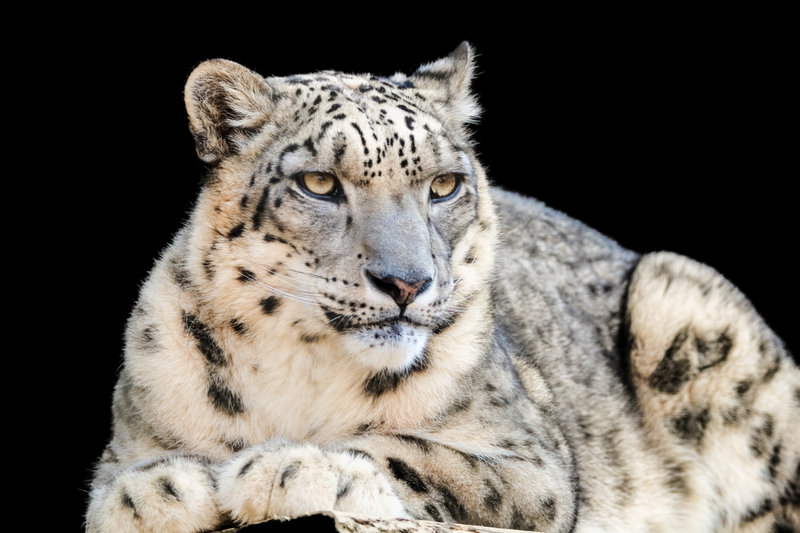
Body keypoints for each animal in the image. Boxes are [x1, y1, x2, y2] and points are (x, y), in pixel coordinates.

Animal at [85, 42, 800, 533]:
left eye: (445, 184)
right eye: (319, 183)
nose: (406, 282)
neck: (304, 368)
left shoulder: (532, 463)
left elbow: (419, 453)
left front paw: (288, 467)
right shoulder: (131, 431)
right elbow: (115, 484)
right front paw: (156, 489)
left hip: (682, 301)